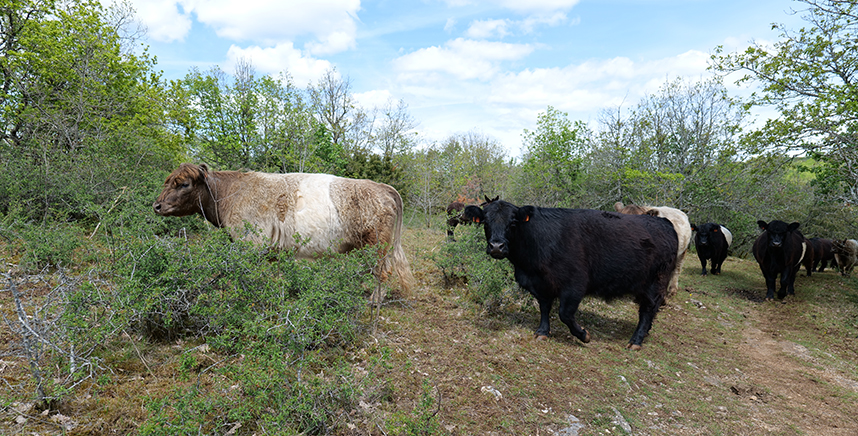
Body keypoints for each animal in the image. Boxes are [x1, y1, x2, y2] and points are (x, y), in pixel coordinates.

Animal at [152, 163, 414, 302]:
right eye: (167, 181)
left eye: (183, 184)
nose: (157, 205)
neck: (230, 194)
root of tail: (382, 187)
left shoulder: (250, 243)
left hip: (376, 245)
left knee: (383, 273)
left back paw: (373, 301)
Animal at [463, 198, 678, 350]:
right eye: (485, 222)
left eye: (513, 222)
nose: (496, 246)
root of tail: (664, 223)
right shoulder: (540, 284)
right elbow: (544, 307)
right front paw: (542, 332)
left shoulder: (574, 285)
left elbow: (565, 314)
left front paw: (584, 335)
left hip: (655, 283)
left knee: (648, 309)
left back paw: (636, 341)